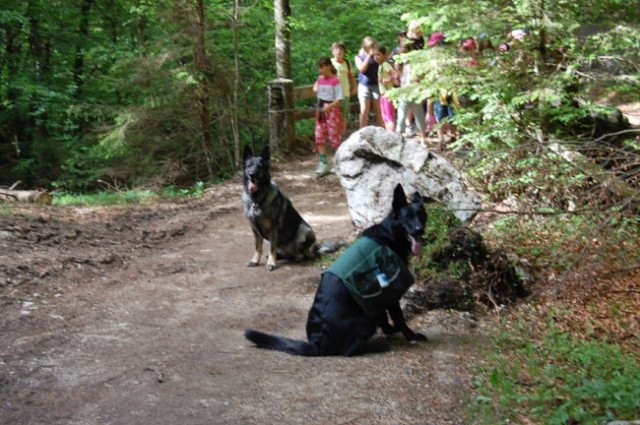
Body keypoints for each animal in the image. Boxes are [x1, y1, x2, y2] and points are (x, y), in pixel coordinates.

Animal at [245, 184, 430, 356]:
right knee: (349, 350)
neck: (389, 233)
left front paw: (391, 330)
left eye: (421, 215)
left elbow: (384, 316)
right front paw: (411, 336)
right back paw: (376, 347)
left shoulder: (376, 297)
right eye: (407, 217)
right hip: (365, 319)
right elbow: (400, 320)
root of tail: (316, 344)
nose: (419, 229)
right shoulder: (391, 292)